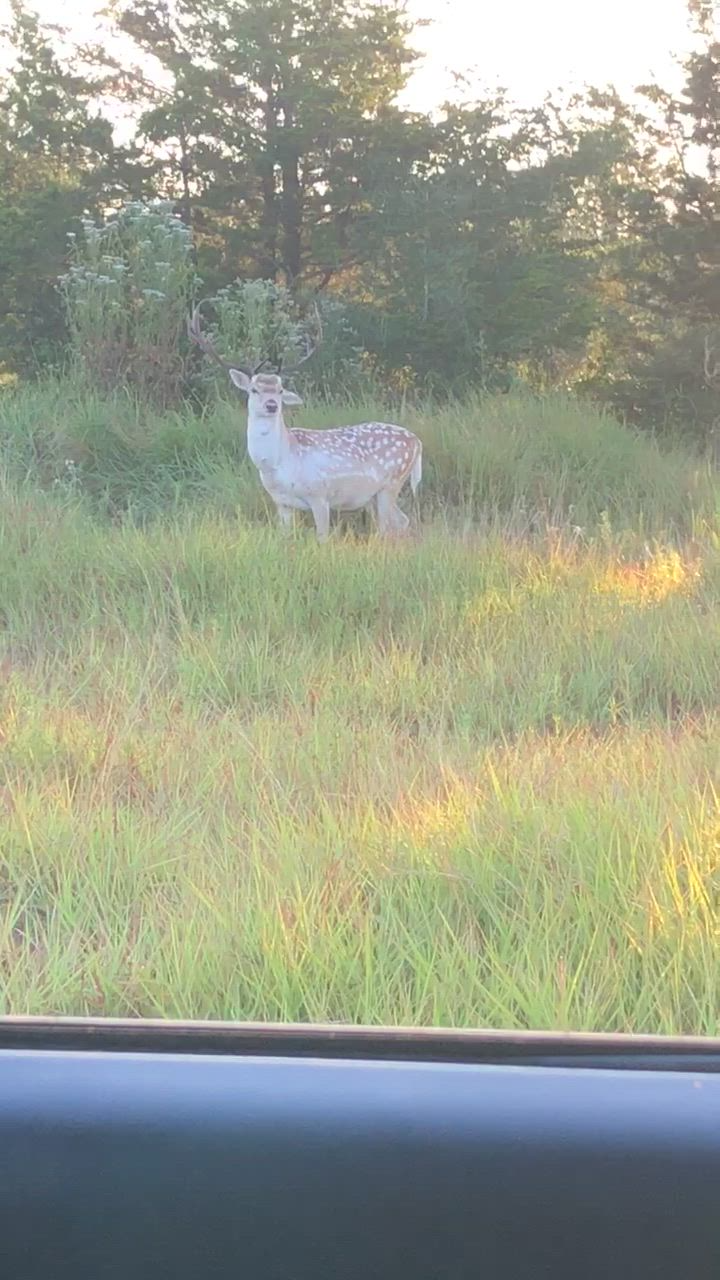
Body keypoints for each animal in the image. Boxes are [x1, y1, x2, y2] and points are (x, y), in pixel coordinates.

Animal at [187, 304, 422, 542]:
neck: (279, 464)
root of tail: (417, 442)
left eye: (280, 390)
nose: (271, 405)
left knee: (388, 526)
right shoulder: (281, 503)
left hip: (392, 482)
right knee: (402, 521)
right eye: (254, 390)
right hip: (374, 495)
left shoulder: (319, 495)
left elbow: (322, 538)